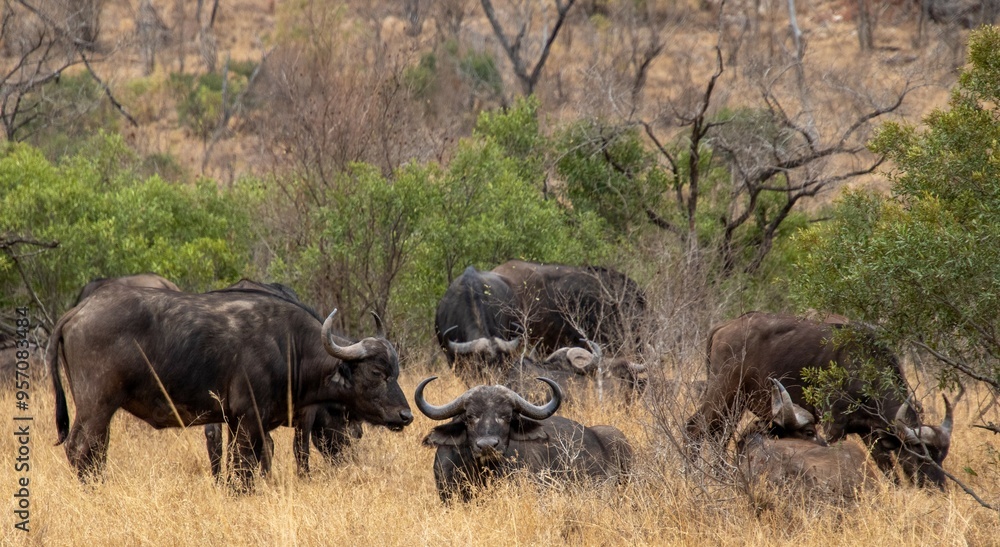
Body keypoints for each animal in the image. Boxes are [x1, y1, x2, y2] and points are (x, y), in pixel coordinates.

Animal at [47, 285, 412, 487]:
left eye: (395, 371)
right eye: (377, 373)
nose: (405, 415)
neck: (289, 346)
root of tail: (77, 312)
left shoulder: (250, 425)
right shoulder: (246, 420)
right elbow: (242, 471)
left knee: (94, 453)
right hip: (96, 406)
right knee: (81, 450)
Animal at [687, 311, 952, 488]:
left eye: (941, 457)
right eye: (919, 454)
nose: (937, 487)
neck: (860, 364)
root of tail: (724, 326)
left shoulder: (869, 431)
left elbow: (887, 468)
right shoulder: (832, 425)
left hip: (736, 403)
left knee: (720, 436)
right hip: (722, 393)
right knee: (695, 428)